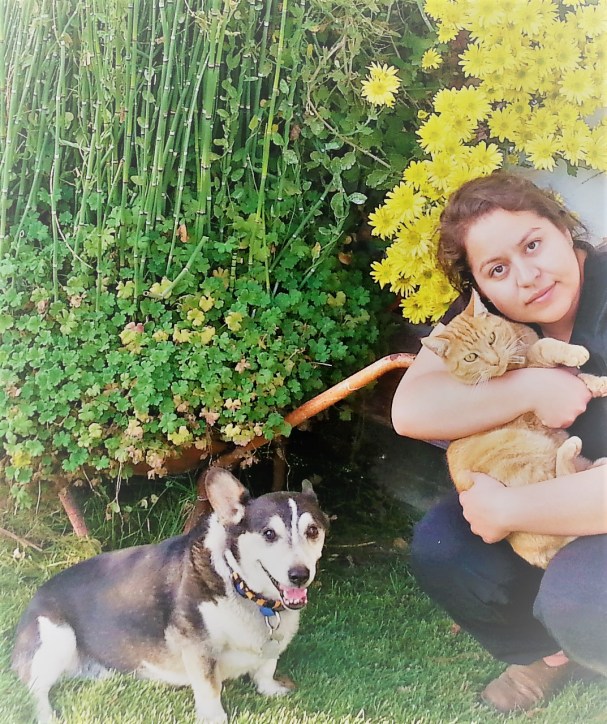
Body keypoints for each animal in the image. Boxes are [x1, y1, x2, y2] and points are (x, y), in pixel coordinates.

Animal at [12, 467, 329, 723]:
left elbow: (266, 668)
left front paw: (272, 689)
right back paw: (47, 715)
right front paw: (214, 717)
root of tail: (35, 597)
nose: (299, 575)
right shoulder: (197, 645)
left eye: (313, 530)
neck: (244, 589)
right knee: (34, 689)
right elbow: (209, 687)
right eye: (268, 534)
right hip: (57, 638)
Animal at [421, 292, 607, 569]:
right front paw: (575, 353)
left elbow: (579, 375)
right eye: (471, 357)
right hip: (529, 459)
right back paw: (571, 451)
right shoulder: (535, 364)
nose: (494, 360)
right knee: (562, 481)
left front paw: (597, 383)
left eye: (491, 338)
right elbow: (545, 346)